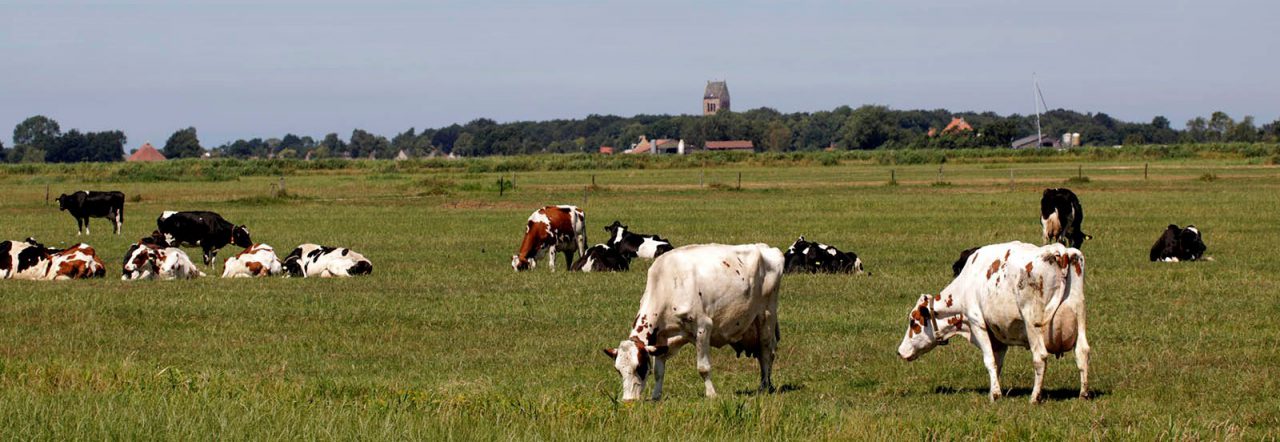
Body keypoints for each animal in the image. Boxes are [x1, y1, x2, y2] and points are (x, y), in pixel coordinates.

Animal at [601, 242, 788, 402]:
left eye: (639, 367)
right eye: (618, 370)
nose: (628, 401)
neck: (667, 284)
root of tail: (766, 248)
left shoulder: (703, 326)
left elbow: (703, 367)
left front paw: (711, 394)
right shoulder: (662, 338)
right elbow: (659, 371)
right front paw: (656, 396)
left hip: (766, 316)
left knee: (766, 351)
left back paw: (764, 386)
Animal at [896, 242, 1095, 402]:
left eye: (913, 322)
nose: (899, 351)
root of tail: (1059, 251)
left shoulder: (977, 323)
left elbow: (989, 360)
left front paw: (996, 395)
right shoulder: (999, 334)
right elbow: (997, 363)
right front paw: (994, 389)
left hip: (1032, 322)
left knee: (1040, 357)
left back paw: (1034, 397)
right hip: (1080, 317)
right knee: (1082, 351)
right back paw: (1083, 394)